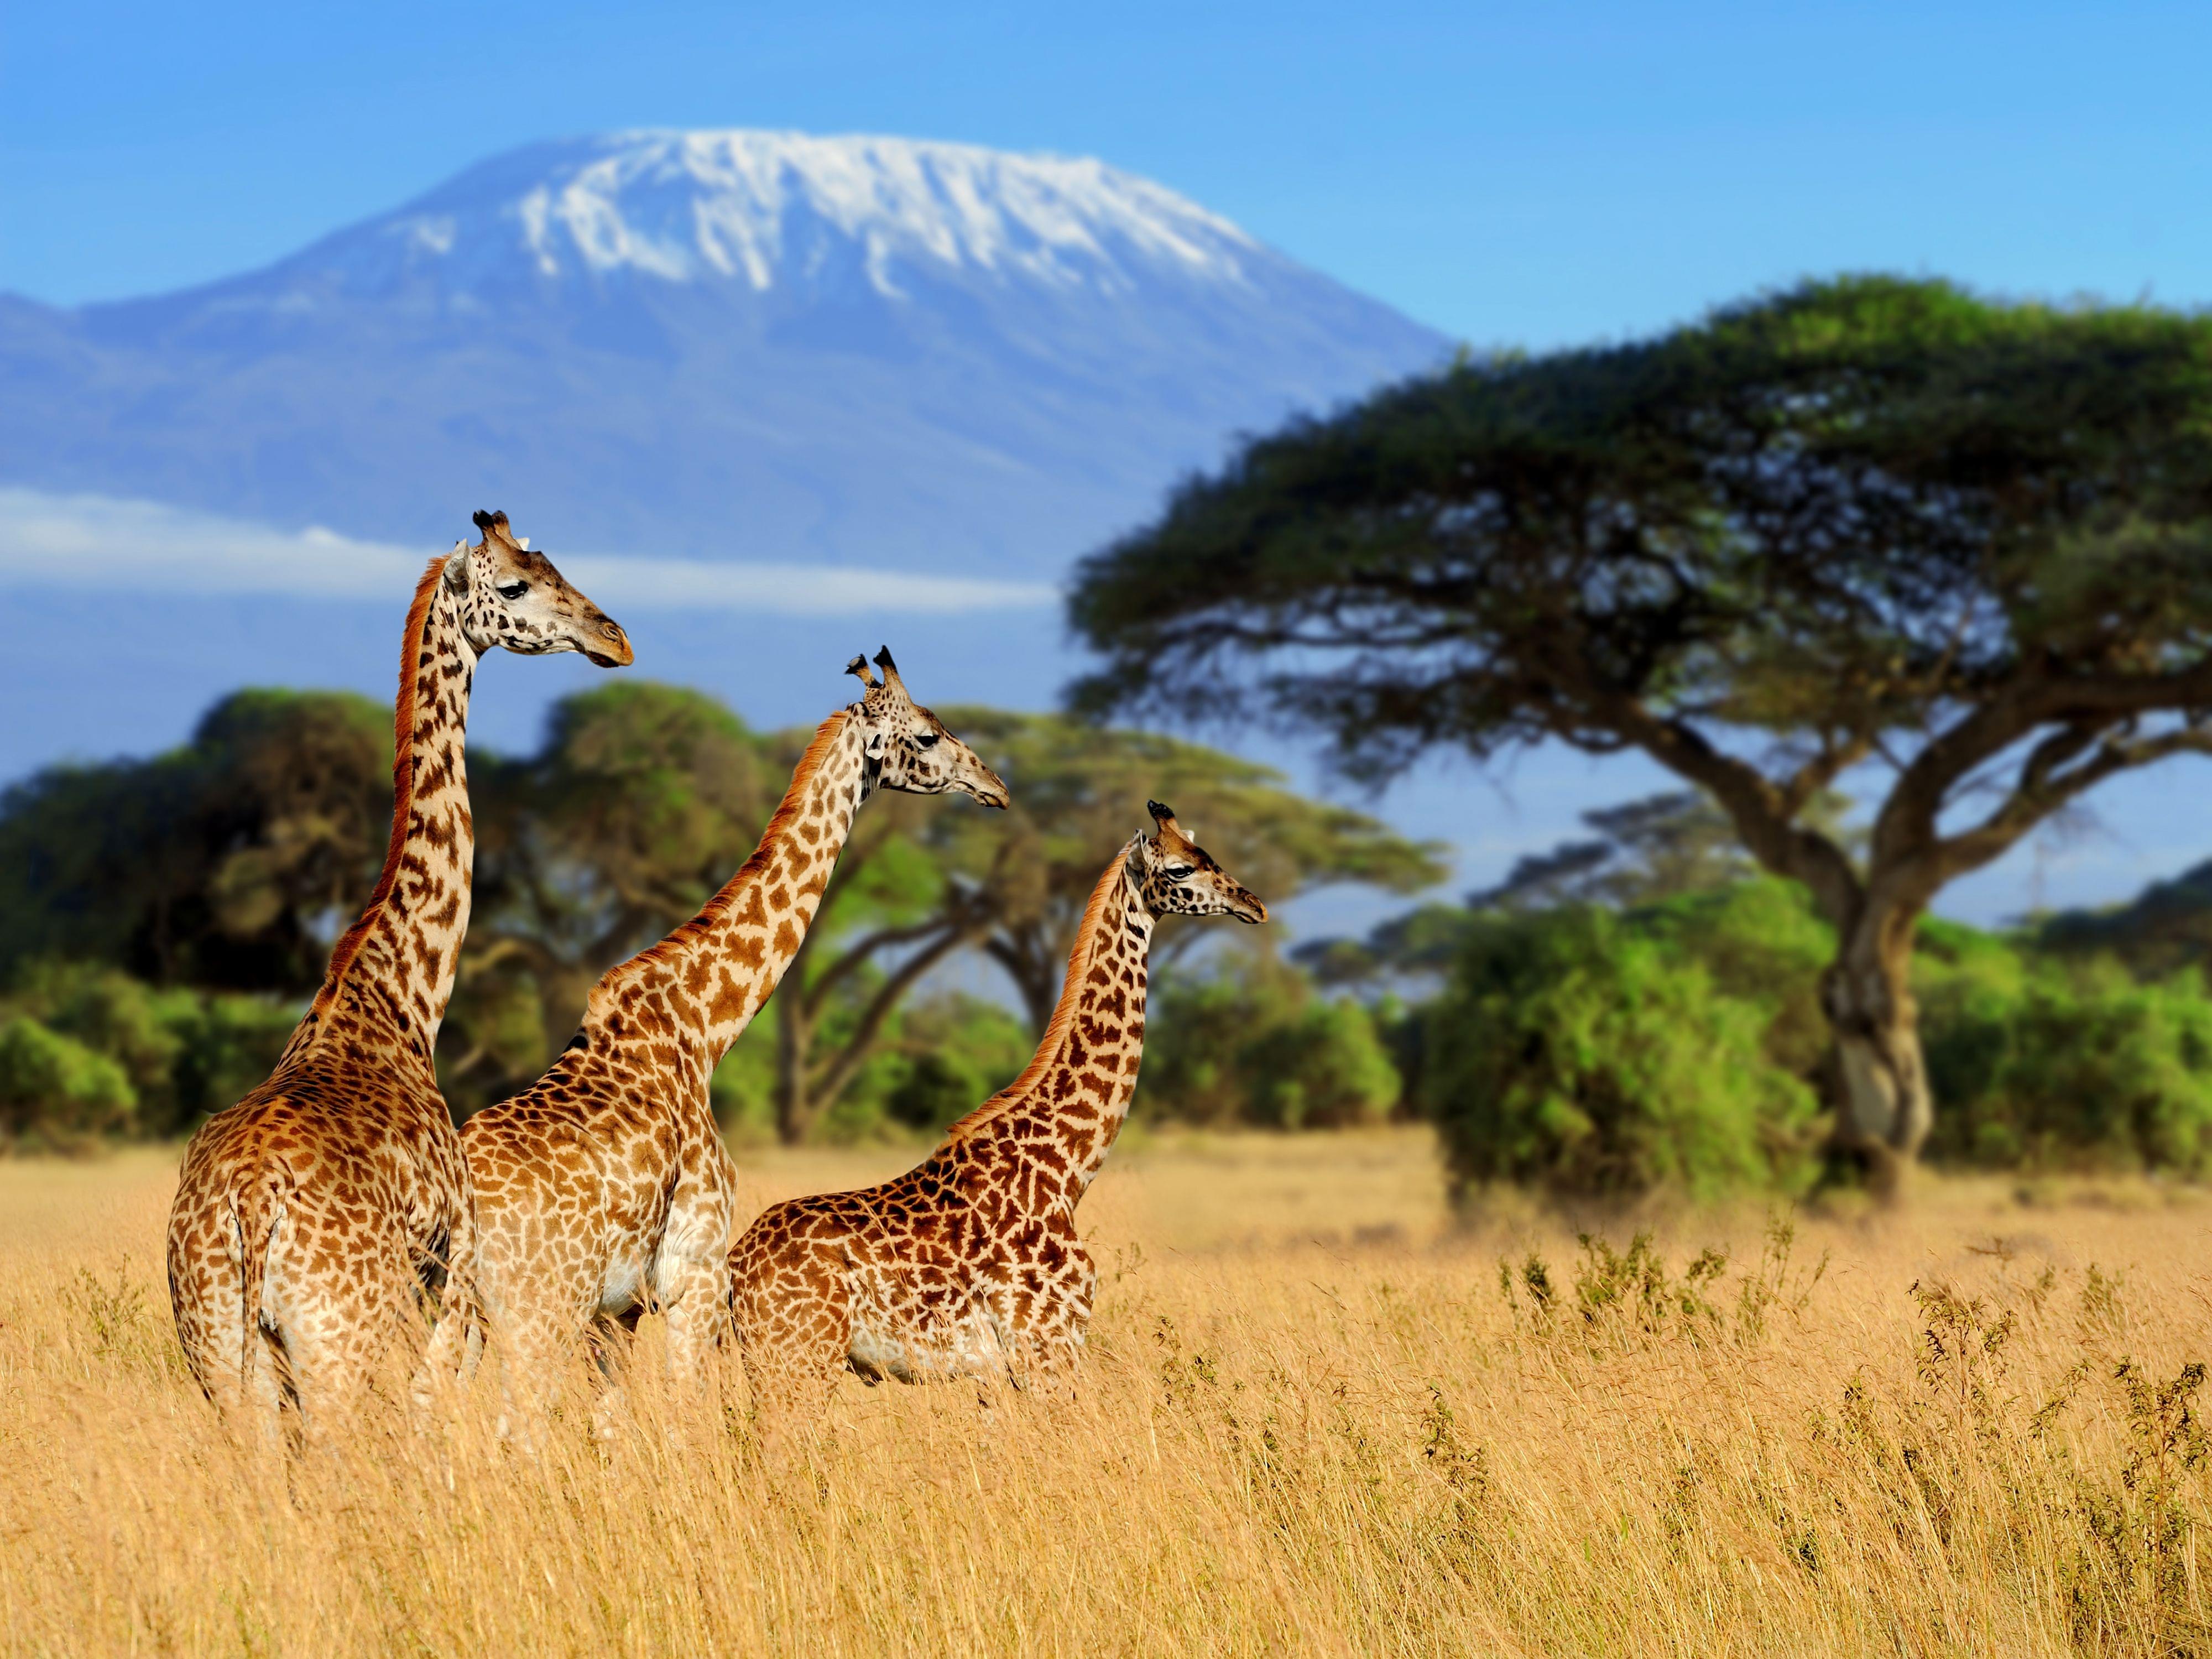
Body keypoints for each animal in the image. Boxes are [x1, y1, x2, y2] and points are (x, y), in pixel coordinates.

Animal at [166, 513, 624, 1433]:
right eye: (517, 584)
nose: (613, 638)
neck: (402, 996)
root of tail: (250, 1204)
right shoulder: (452, 1273)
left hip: (221, 1352)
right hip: (337, 1344)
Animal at [436, 641, 1009, 1425]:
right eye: (925, 735)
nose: (995, 785)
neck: (703, 1029)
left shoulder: (621, 1309)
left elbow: (612, 1425)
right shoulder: (695, 1277)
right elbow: (684, 1418)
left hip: (457, 1311)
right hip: (539, 1308)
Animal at [730, 801, 1265, 1425]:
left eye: (1208, 854)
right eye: (1180, 869)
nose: (1253, 904)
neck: (1067, 1167)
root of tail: (733, 1267)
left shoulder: (1002, 1371)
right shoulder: (1047, 1346)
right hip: (798, 1360)